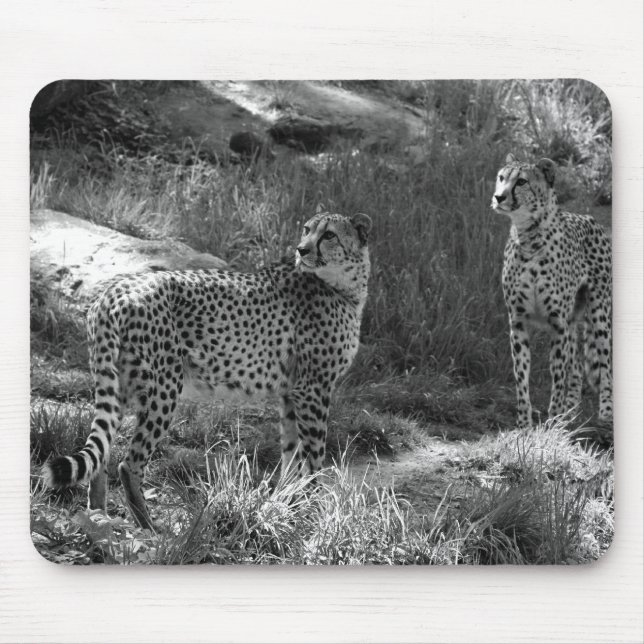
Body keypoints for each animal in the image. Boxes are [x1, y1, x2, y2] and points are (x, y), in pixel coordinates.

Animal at [43, 212, 372, 530]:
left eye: (328, 235)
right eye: (307, 230)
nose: (301, 249)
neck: (343, 285)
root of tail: (114, 289)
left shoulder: (291, 393)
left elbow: (292, 456)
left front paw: (285, 505)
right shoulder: (313, 390)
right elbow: (314, 459)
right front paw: (315, 509)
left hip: (119, 381)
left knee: (102, 453)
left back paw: (98, 518)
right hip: (164, 386)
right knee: (129, 463)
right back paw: (150, 527)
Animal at [491, 153, 612, 428]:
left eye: (521, 181)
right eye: (501, 178)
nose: (499, 197)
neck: (528, 237)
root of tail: (589, 218)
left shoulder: (558, 324)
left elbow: (558, 378)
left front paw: (553, 422)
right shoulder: (518, 322)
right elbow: (521, 378)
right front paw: (524, 426)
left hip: (599, 313)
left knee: (605, 364)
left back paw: (605, 415)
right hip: (575, 318)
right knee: (577, 366)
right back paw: (571, 413)